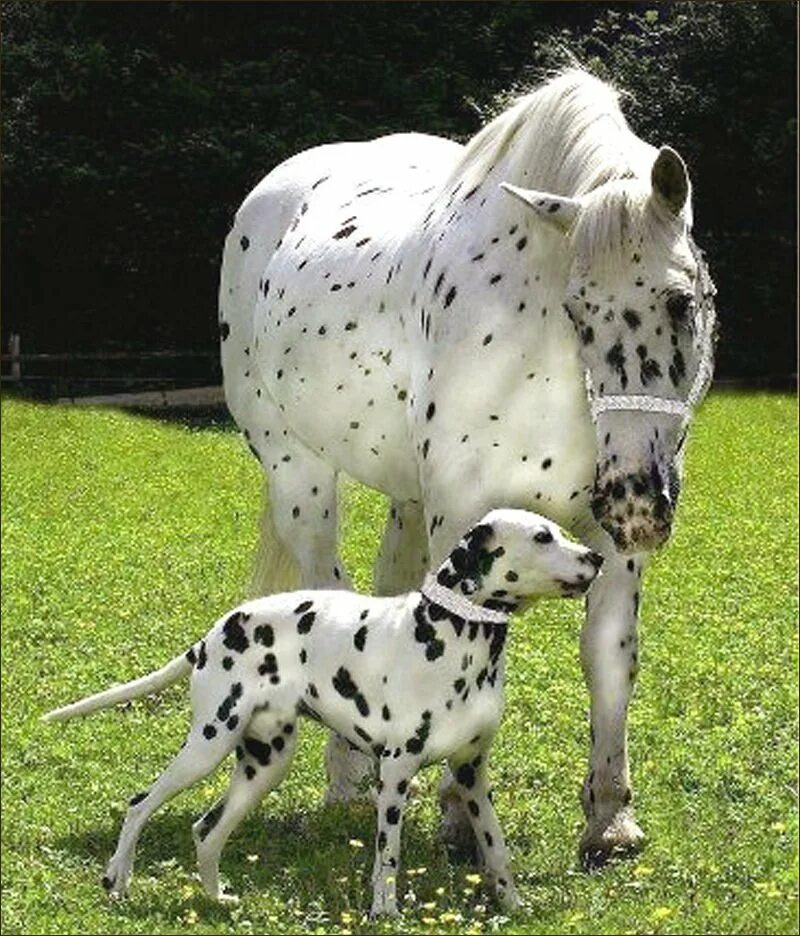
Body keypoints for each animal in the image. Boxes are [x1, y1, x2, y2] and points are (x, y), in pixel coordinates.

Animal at [43, 512, 604, 916]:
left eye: (559, 531)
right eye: (542, 537)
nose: (598, 556)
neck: (455, 639)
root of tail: (212, 634)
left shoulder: (472, 774)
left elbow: (497, 850)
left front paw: (514, 905)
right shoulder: (395, 776)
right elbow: (387, 858)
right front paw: (385, 913)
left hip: (262, 767)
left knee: (207, 830)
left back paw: (216, 898)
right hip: (207, 746)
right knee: (139, 804)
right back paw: (118, 879)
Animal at [219, 69, 720, 868]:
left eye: (682, 300)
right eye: (577, 309)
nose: (639, 501)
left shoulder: (610, 543)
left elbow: (609, 658)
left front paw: (610, 819)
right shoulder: (466, 516)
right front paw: (459, 817)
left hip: (407, 499)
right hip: (298, 471)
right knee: (327, 589)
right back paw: (349, 780)